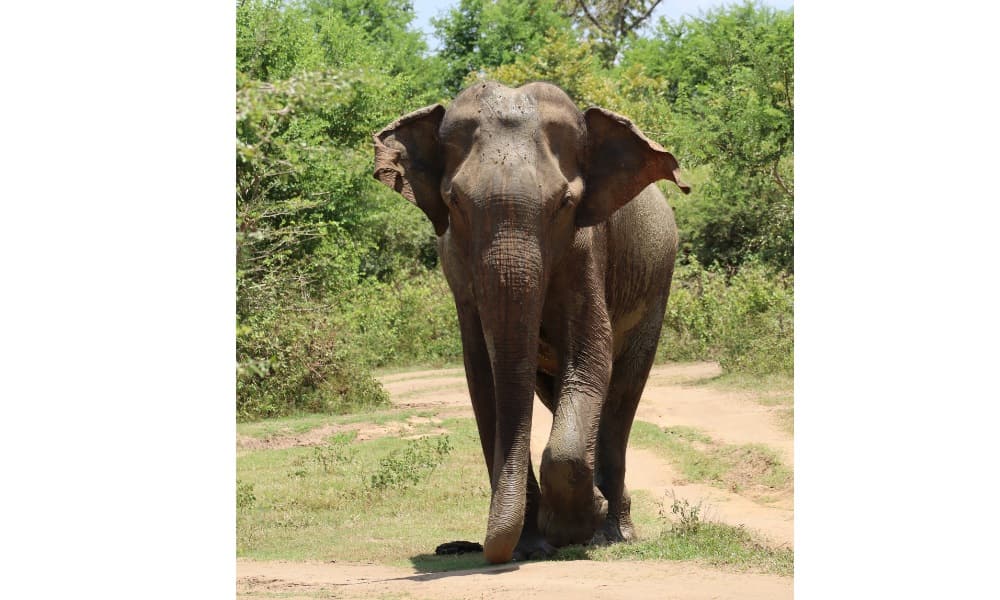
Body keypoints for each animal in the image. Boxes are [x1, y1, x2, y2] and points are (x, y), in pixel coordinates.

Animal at [372, 79, 692, 564]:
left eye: (565, 203)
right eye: (453, 202)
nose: (469, 548)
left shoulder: (586, 248)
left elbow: (591, 355)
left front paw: (577, 524)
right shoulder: (458, 272)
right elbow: (484, 377)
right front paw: (534, 543)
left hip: (657, 287)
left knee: (622, 395)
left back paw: (613, 532)